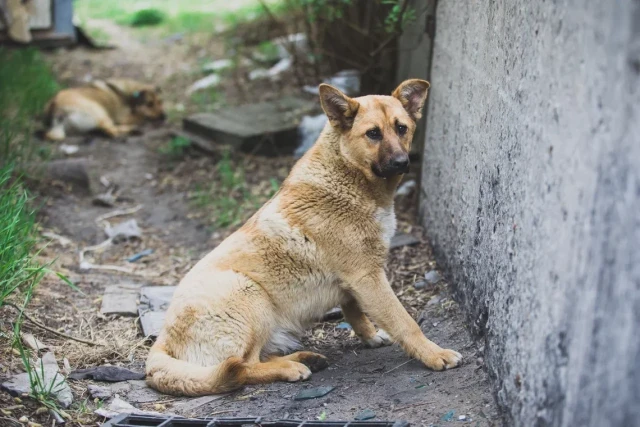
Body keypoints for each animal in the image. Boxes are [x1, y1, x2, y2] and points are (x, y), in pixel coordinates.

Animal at [148, 79, 462, 398]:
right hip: (251, 295)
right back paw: (291, 368)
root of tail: (161, 343)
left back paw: (305, 358)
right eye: (373, 133)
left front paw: (371, 336)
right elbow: (405, 321)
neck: (347, 175)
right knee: (243, 366)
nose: (401, 162)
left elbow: (355, 312)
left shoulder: (356, 282)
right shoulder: (368, 277)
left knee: (255, 359)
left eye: (401, 128)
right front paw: (434, 354)